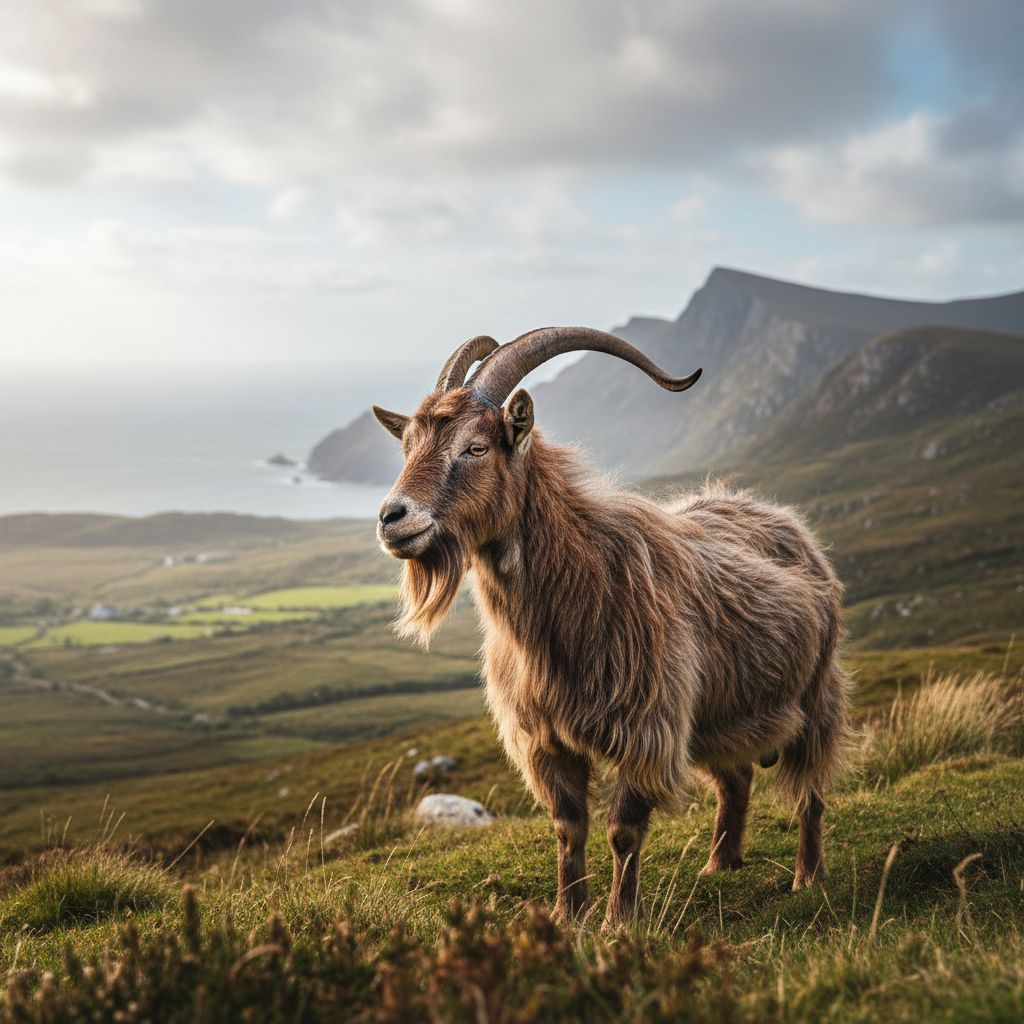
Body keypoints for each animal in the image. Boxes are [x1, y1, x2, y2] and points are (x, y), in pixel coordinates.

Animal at [372, 327, 851, 925]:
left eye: (476, 447)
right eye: (407, 446)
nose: (392, 519)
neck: (579, 590)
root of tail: (789, 524)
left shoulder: (646, 727)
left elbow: (623, 830)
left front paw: (620, 921)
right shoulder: (547, 742)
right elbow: (567, 828)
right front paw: (567, 914)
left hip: (815, 693)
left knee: (811, 787)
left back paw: (809, 875)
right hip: (719, 713)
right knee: (736, 778)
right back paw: (720, 864)